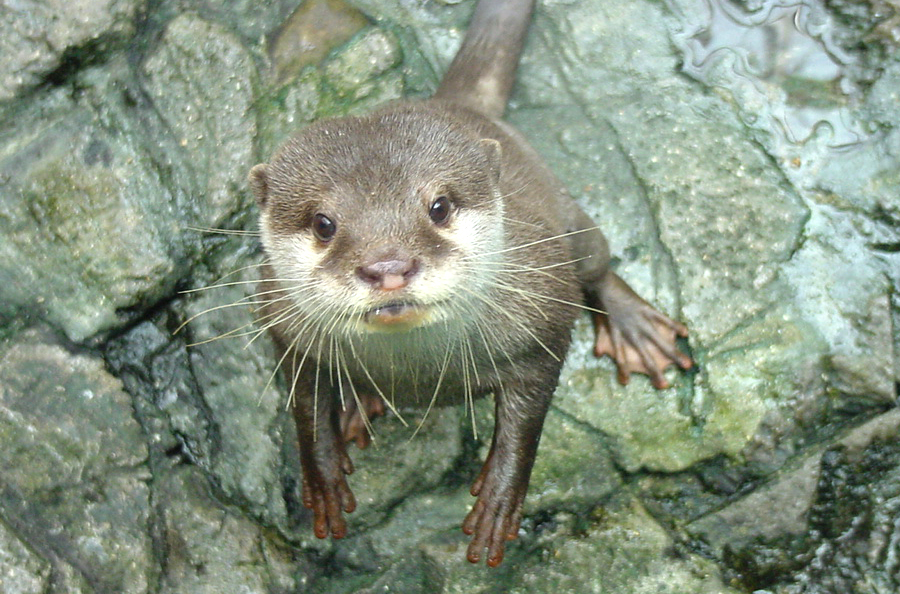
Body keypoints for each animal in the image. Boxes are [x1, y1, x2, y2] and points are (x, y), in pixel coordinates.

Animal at [246, 0, 688, 568]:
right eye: (324, 223)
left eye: (439, 206)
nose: (388, 267)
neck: (414, 367)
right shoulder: (283, 325)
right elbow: (305, 408)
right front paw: (321, 475)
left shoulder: (542, 322)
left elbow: (527, 421)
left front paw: (499, 500)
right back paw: (356, 404)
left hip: (568, 217)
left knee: (596, 260)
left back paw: (637, 331)